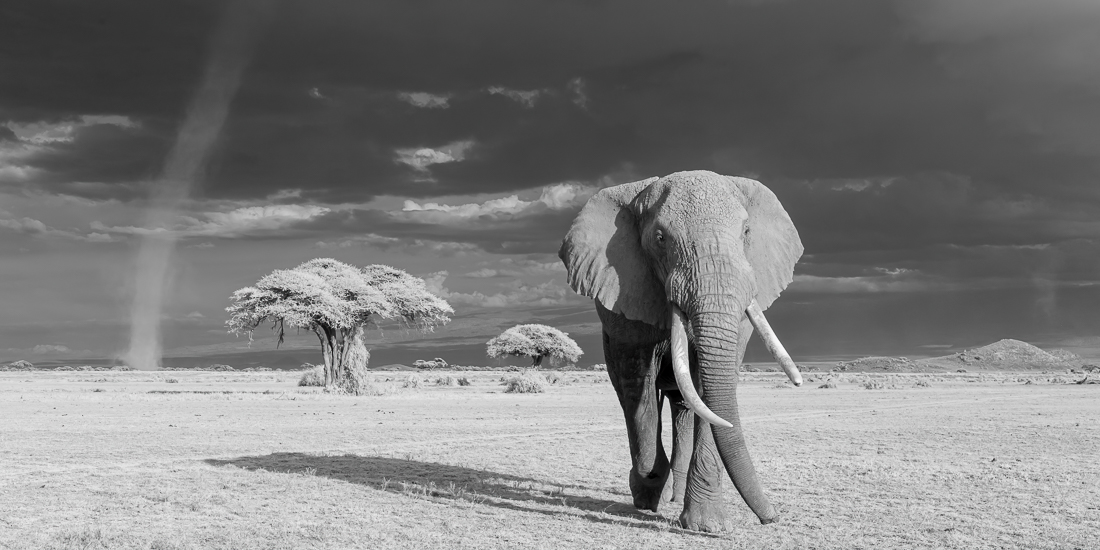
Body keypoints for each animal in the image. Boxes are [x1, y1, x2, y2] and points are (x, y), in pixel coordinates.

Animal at [558, 170, 804, 533]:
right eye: (660, 238)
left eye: (746, 232)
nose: (771, 518)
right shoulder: (625, 293)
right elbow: (638, 385)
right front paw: (646, 494)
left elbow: (710, 391)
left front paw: (707, 526)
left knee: (684, 407)